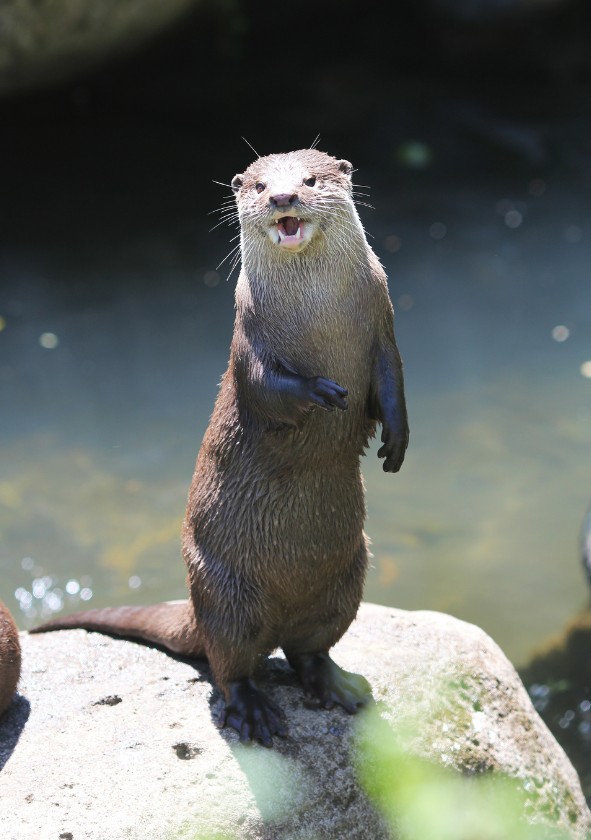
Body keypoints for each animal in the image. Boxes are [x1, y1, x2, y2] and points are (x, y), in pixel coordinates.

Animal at [30, 148, 410, 744]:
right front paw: (321, 393)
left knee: (309, 649)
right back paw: (253, 712)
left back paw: (338, 686)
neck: (319, 311)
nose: (282, 196)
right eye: (257, 185)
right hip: (226, 591)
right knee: (230, 663)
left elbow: (392, 382)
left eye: (310, 179)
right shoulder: (247, 337)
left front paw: (396, 438)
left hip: (347, 580)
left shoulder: (384, 324)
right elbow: (264, 387)